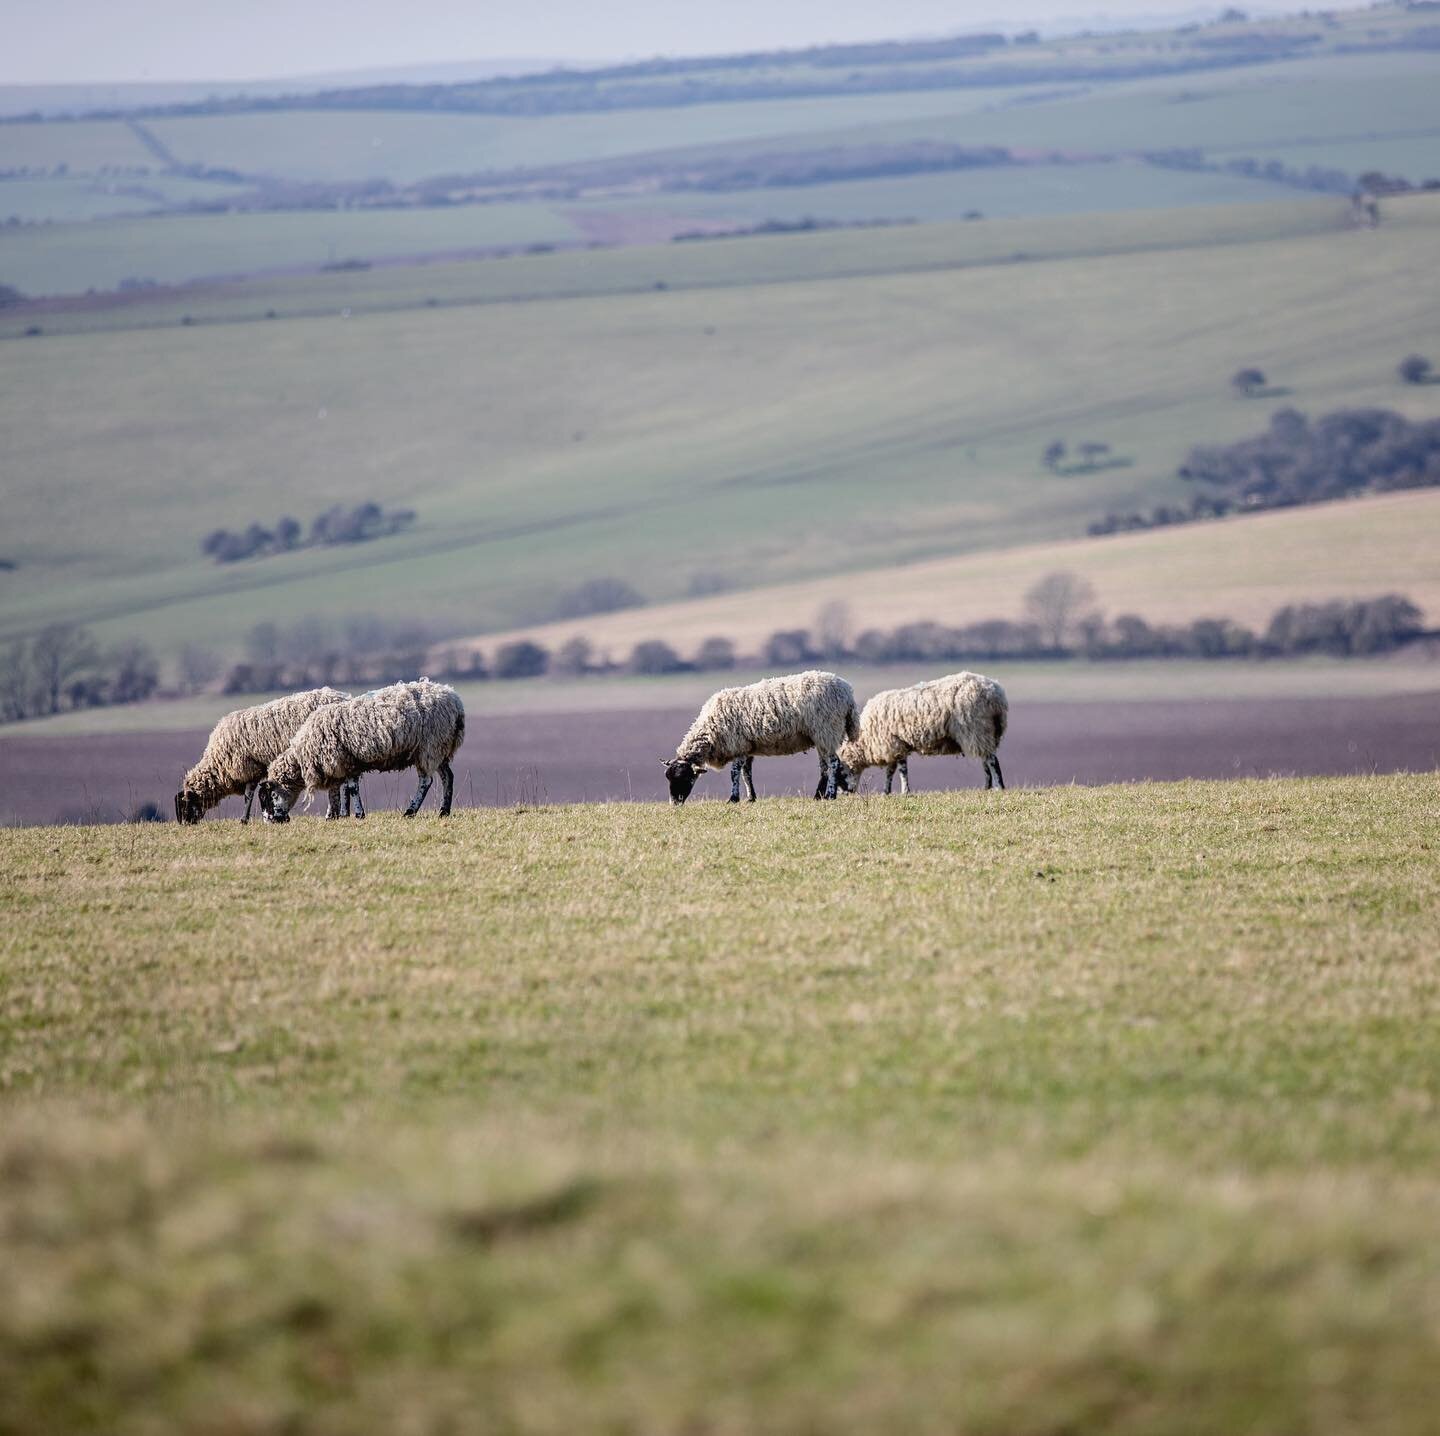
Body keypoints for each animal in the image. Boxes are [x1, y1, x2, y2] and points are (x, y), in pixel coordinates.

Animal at [172, 688, 360, 823]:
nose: (185, 825)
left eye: (184, 805)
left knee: (338, 785)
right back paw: (342, 813)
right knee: (343, 783)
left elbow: (248, 795)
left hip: (326, 753)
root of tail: (344, 697)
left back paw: (333, 814)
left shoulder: (248, 768)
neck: (218, 765)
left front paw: (244, 820)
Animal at [256, 671, 463, 818]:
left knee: (426, 781)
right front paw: (355, 813)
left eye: (271, 796)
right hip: (440, 748)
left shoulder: (343, 761)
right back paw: (444, 811)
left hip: (429, 746)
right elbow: (351, 788)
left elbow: (351, 789)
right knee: (448, 777)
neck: (303, 756)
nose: (270, 821)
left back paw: (410, 811)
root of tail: (454, 699)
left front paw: (357, 814)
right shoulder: (350, 762)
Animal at [659, 671, 852, 806]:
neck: (710, 731)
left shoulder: (738, 745)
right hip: (821, 737)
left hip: (827, 729)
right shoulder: (747, 747)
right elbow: (747, 774)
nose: (674, 804)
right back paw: (819, 795)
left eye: (684, 777)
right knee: (824, 766)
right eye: (668, 778)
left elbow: (734, 773)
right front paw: (751, 798)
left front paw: (733, 799)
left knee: (833, 763)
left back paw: (831, 795)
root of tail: (846, 691)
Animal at [835, 671, 1013, 795]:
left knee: (991, 761)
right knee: (985, 761)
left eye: (840, 771)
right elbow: (890, 771)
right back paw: (986, 787)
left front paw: (905, 792)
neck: (864, 739)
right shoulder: (893, 746)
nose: (845, 794)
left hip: (977, 729)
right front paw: (886, 792)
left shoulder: (896, 745)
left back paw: (999, 787)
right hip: (985, 733)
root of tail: (996, 694)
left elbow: (901, 771)